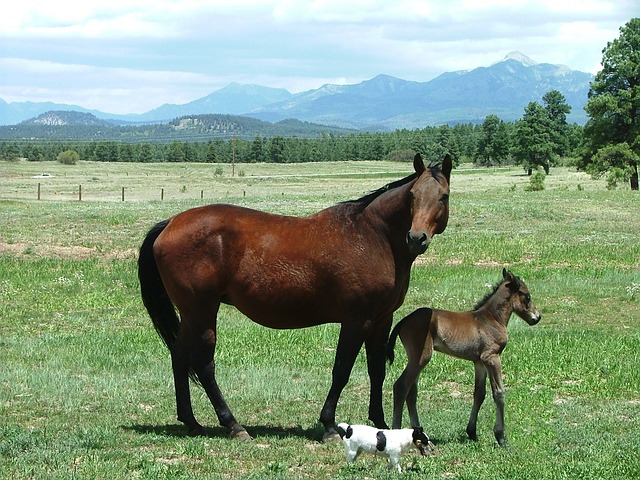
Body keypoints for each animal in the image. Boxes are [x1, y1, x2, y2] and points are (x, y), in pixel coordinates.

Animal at [138, 155, 452, 442]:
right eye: (412, 196)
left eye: (443, 196)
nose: (416, 238)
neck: (373, 236)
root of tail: (170, 223)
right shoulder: (357, 321)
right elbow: (341, 370)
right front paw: (329, 426)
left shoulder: (381, 319)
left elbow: (376, 370)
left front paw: (381, 423)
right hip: (202, 311)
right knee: (203, 364)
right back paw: (233, 425)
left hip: (190, 313)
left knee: (179, 356)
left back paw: (191, 422)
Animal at [384, 270, 540, 446]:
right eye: (527, 296)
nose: (537, 317)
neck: (491, 319)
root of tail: (403, 321)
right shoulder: (492, 357)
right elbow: (499, 393)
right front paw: (501, 437)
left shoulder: (479, 362)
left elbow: (479, 394)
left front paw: (472, 432)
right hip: (421, 357)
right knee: (401, 387)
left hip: (417, 359)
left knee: (411, 392)